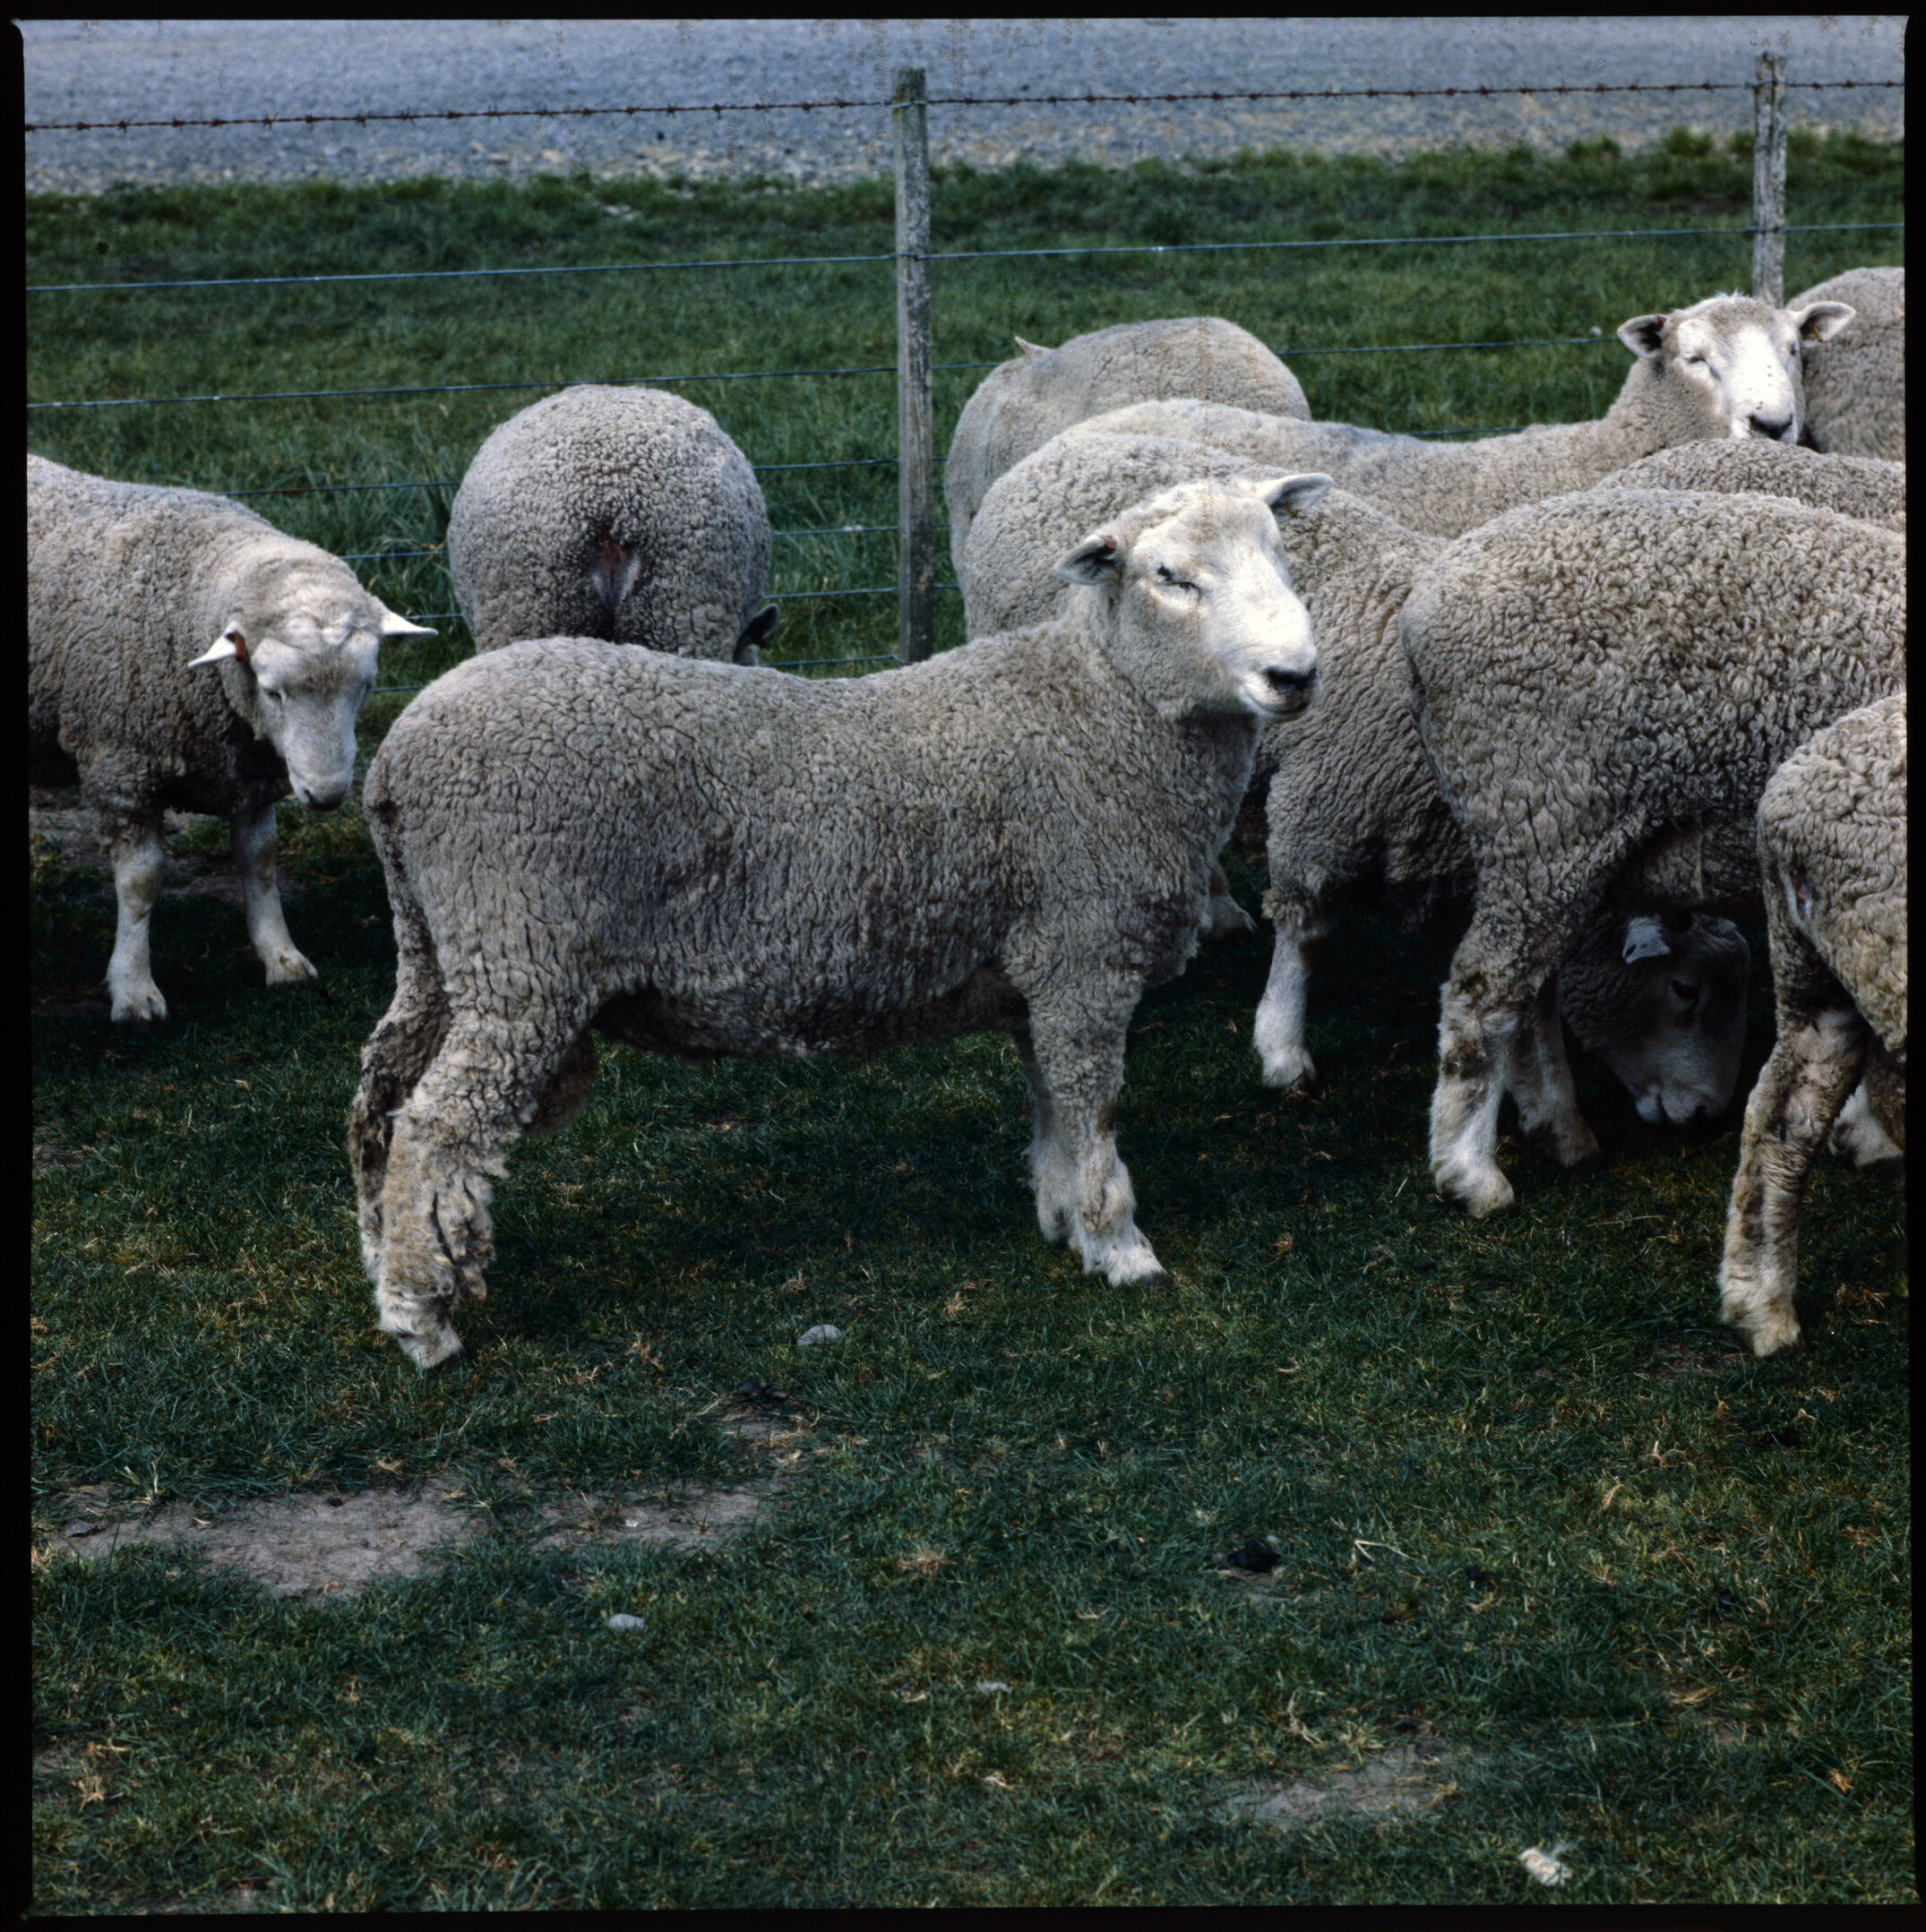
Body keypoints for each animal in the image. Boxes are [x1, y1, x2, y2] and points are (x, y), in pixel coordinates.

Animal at [27, 454, 435, 1024]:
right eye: (271, 690)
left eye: (367, 686)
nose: (327, 795)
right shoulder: (122, 769)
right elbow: (140, 883)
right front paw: (133, 988)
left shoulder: (251, 771)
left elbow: (259, 860)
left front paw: (281, 957)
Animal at [348, 472, 1334, 1369]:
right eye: (1170, 576)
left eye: (1281, 553)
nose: (1294, 676)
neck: (1103, 709)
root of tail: (397, 757)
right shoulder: (1083, 957)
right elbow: (1093, 1104)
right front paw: (1119, 1245)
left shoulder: (1041, 971)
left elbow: (1051, 1098)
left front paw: (1061, 1220)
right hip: (521, 952)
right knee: (437, 1129)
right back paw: (422, 1320)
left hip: (444, 946)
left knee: (380, 1091)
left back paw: (377, 1255)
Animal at [965, 429, 1753, 1130]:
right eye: (1682, 989)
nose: (1707, 1114)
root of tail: (1064, 449)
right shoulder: (1328, 797)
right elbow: (1306, 927)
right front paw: (1283, 1049)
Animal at [1403, 488, 1905, 1219]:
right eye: (1684, 991)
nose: (1699, 1117)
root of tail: (1424, 603)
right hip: (1537, 809)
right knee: (1482, 988)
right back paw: (1469, 1170)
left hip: (1552, 848)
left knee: (1532, 988)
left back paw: (1560, 1127)